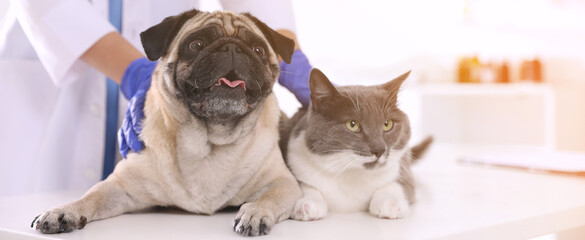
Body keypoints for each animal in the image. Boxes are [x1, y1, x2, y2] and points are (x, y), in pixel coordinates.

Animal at [30, 8, 302, 236]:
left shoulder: (282, 182)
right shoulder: (121, 186)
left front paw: (255, 212)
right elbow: (91, 195)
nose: (232, 48)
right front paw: (64, 210)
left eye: (258, 50)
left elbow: (268, 198)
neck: (209, 140)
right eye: (196, 44)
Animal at [280, 68, 432, 220]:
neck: (352, 174)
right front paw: (308, 204)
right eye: (352, 124)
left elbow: (398, 184)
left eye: (387, 124)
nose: (379, 149)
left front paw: (390, 202)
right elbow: (303, 185)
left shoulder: (402, 168)